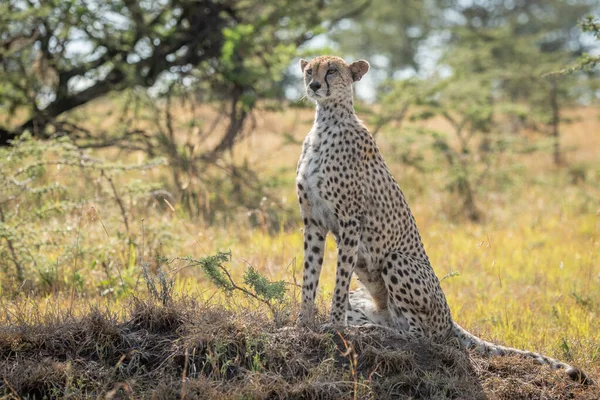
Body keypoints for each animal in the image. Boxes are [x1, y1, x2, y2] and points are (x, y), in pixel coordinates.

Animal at [296, 54, 592, 382]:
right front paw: (303, 323)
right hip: (367, 297)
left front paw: (335, 325)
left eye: (332, 71)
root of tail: (450, 318)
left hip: (397, 261)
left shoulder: (350, 221)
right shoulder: (313, 222)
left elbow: (338, 281)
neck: (326, 120)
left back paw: (374, 332)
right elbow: (310, 275)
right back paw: (369, 326)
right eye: (309, 70)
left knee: (418, 335)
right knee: (393, 322)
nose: (314, 85)